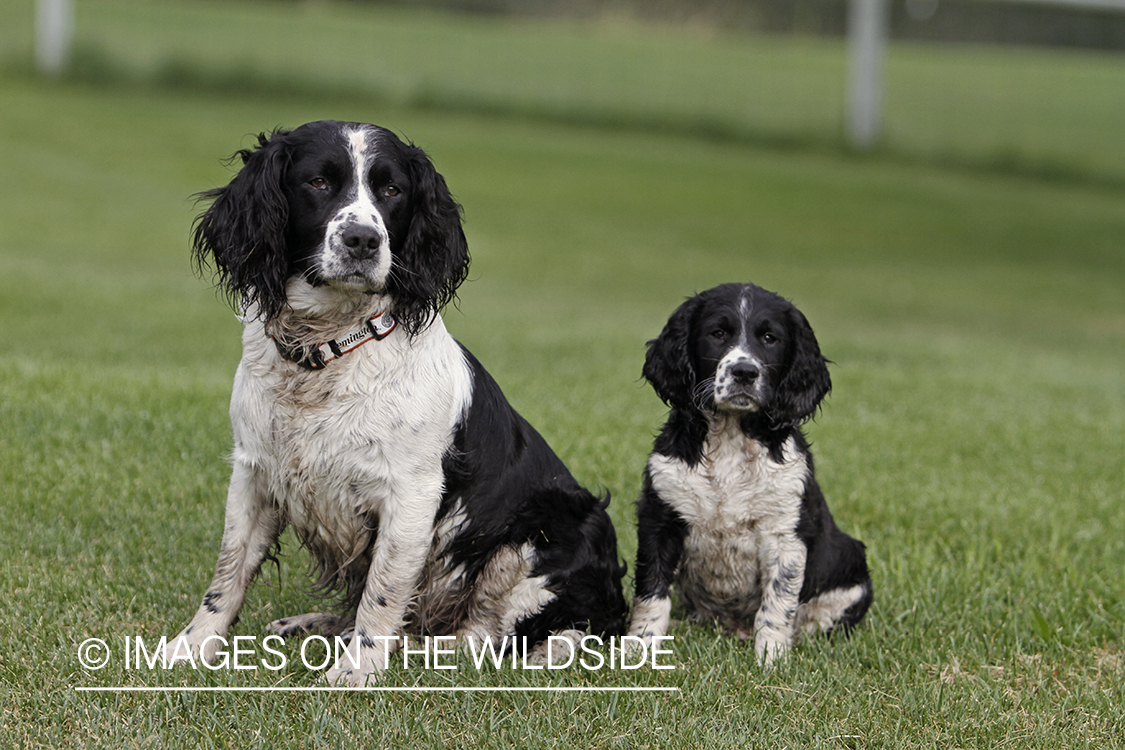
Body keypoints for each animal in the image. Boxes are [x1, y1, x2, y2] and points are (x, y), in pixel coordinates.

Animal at [164, 118, 625, 688]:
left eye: (392, 190)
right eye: (318, 181)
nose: (363, 239)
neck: (328, 351)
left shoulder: (411, 494)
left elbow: (383, 594)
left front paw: (357, 670)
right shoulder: (254, 472)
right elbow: (228, 572)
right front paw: (190, 647)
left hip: (549, 534)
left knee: (487, 634)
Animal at [630, 283, 873, 670]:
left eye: (770, 338)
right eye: (717, 334)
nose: (744, 372)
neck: (731, 439)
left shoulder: (785, 533)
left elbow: (778, 600)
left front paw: (771, 658)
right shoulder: (660, 518)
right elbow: (651, 591)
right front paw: (639, 649)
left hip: (853, 571)